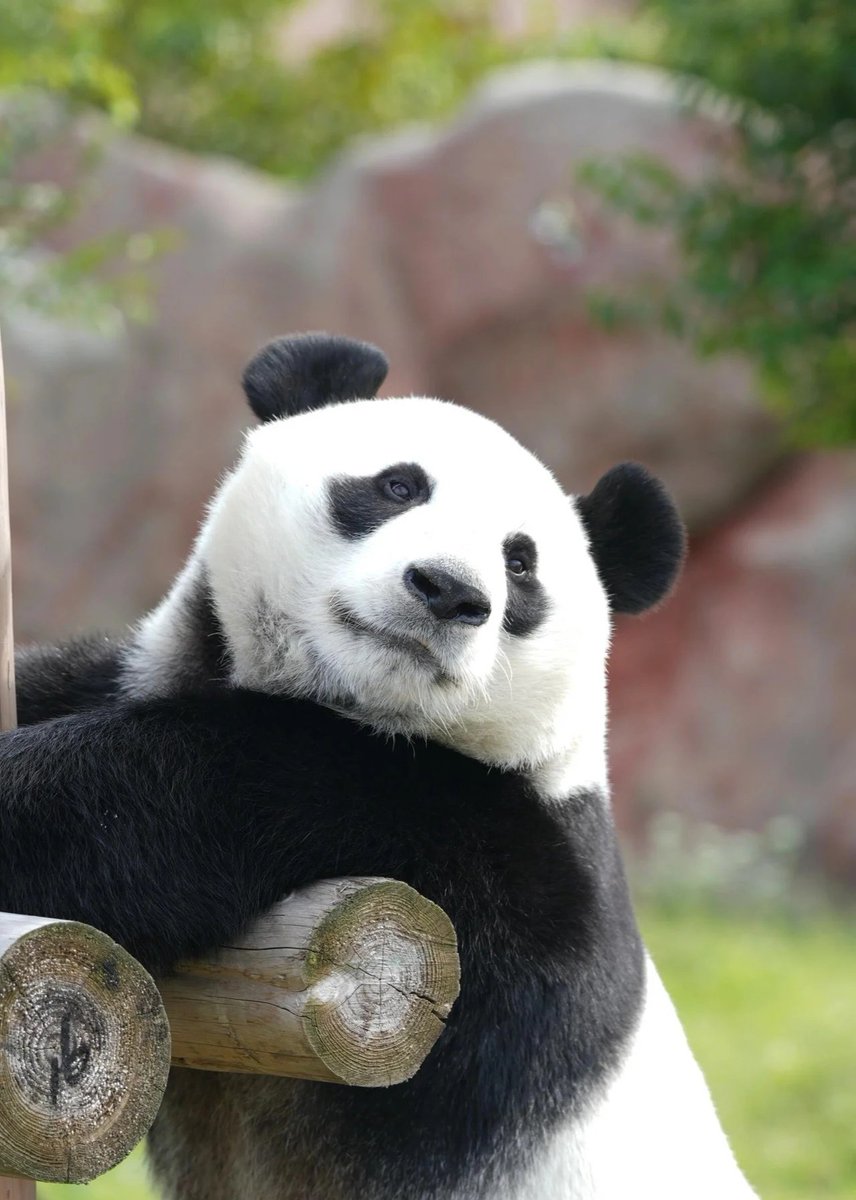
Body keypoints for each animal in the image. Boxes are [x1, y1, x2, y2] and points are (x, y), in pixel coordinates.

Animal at [1, 333, 757, 1200]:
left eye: (521, 563)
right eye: (398, 485)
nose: (449, 590)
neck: (360, 706)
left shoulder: (477, 852)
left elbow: (169, 803)